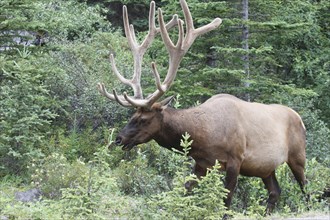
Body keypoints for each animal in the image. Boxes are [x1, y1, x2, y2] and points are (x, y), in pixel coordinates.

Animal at [97, 0, 306, 216]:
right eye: (132, 116)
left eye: (143, 119)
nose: (119, 139)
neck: (203, 137)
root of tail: (300, 118)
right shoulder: (202, 164)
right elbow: (186, 190)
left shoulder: (235, 159)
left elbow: (226, 199)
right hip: (265, 167)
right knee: (275, 191)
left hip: (298, 155)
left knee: (305, 186)